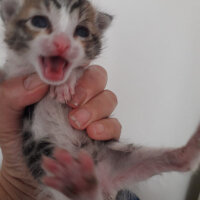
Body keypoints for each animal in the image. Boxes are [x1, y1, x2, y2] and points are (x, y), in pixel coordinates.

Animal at [0, 0, 200, 200]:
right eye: (39, 22)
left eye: (82, 31)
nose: (62, 44)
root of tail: (102, 181)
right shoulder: (13, 73)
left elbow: (79, 69)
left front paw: (66, 83)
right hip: (47, 167)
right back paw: (79, 183)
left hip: (119, 159)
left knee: (181, 162)